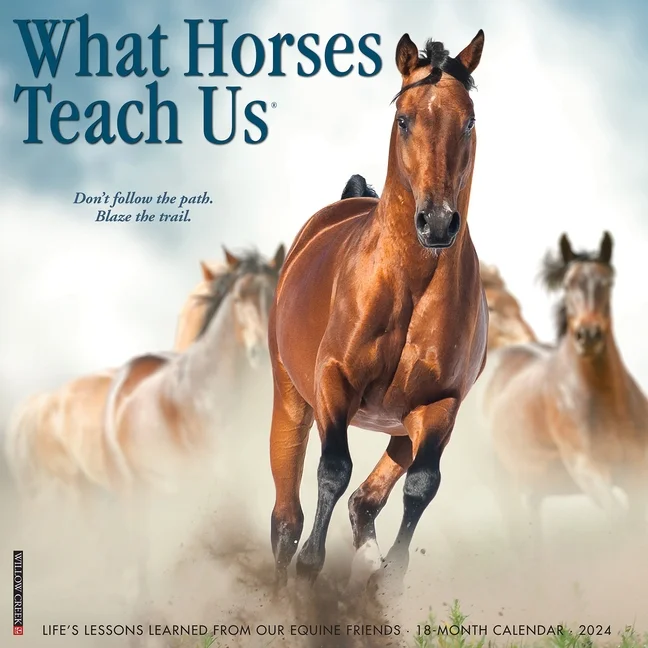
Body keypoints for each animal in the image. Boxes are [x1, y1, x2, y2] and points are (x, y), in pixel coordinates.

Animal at [268, 31, 487, 592]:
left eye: (468, 121)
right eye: (404, 119)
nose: (437, 222)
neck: (406, 284)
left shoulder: (439, 405)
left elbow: (420, 486)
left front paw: (389, 577)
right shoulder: (333, 381)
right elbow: (333, 469)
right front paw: (312, 565)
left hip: (402, 427)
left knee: (366, 502)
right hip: (292, 399)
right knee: (285, 516)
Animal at [481, 232, 648, 552]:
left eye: (607, 282)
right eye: (568, 285)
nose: (588, 335)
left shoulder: (637, 475)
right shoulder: (588, 470)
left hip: (533, 492)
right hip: (507, 492)